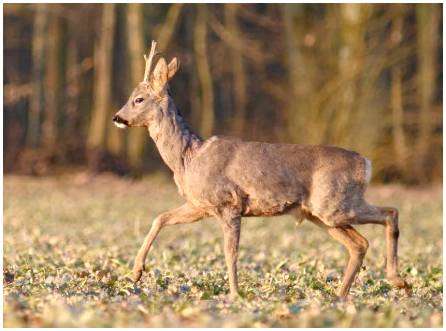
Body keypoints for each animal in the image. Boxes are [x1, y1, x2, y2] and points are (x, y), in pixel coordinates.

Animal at [111, 40, 408, 300]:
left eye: (138, 99)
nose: (117, 118)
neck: (188, 158)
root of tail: (366, 163)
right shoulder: (200, 205)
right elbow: (159, 218)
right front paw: (135, 273)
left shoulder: (229, 202)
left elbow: (230, 252)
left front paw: (234, 294)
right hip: (321, 214)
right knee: (359, 244)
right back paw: (341, 296)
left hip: (334, 204)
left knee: (390, 213)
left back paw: (398, 281)